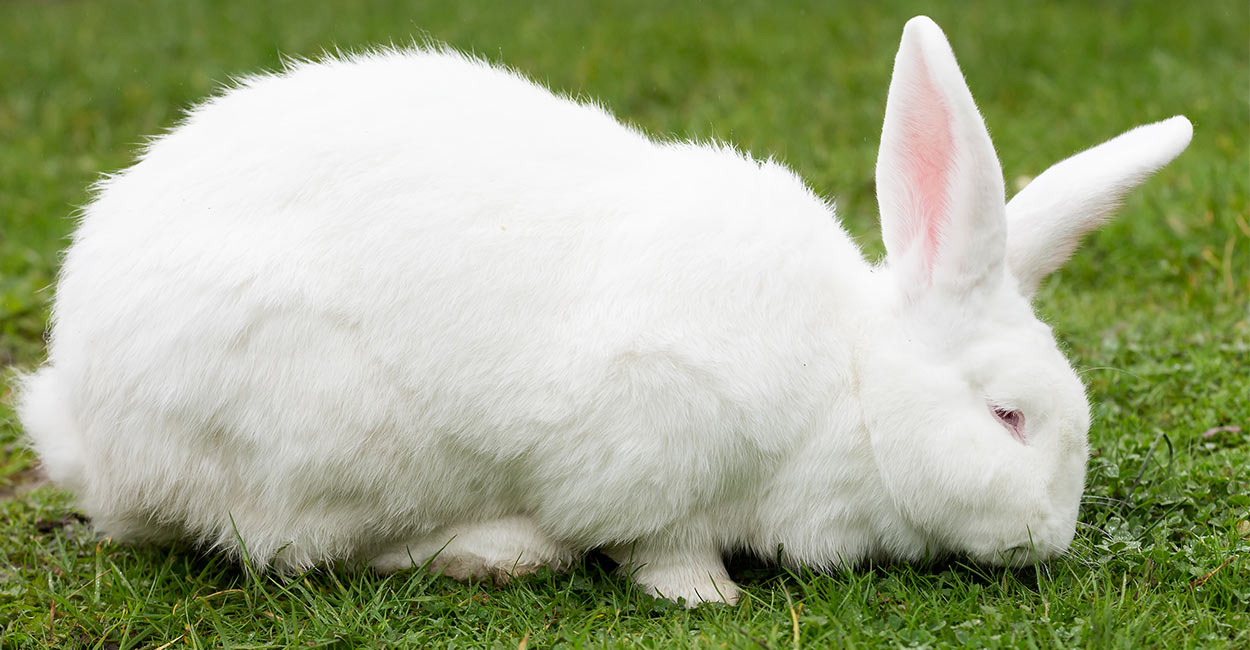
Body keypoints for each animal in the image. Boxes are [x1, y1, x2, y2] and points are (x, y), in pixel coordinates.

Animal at [17, 15, 1190, 605]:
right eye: (1006, 417)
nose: (1048, 537)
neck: (850, 382)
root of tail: (85, 419)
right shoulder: (648, 441)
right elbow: (657, 543)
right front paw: (705, 596)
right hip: (316, 439)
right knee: (293, 548)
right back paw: (493, 549)